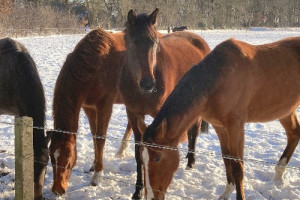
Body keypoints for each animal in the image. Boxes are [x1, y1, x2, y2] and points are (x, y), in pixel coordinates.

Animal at [120, 8, 211, 199]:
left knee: (194, 130)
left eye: (155, 42)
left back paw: (191, 161)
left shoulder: (160, 114)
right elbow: (138, 152)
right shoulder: (133, 114)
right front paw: (138, 190)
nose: (148, 84)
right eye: (132, 42)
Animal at [141, 36, 300, 199]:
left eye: (157, 158)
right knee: (294, 134)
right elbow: (226, 159)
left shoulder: (235, 127)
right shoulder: (219, 127)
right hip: (286, 111)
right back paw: (278, 176)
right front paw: (227, 192)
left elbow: (237, 166)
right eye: (143, 158)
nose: (150, 196)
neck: (220, 80)